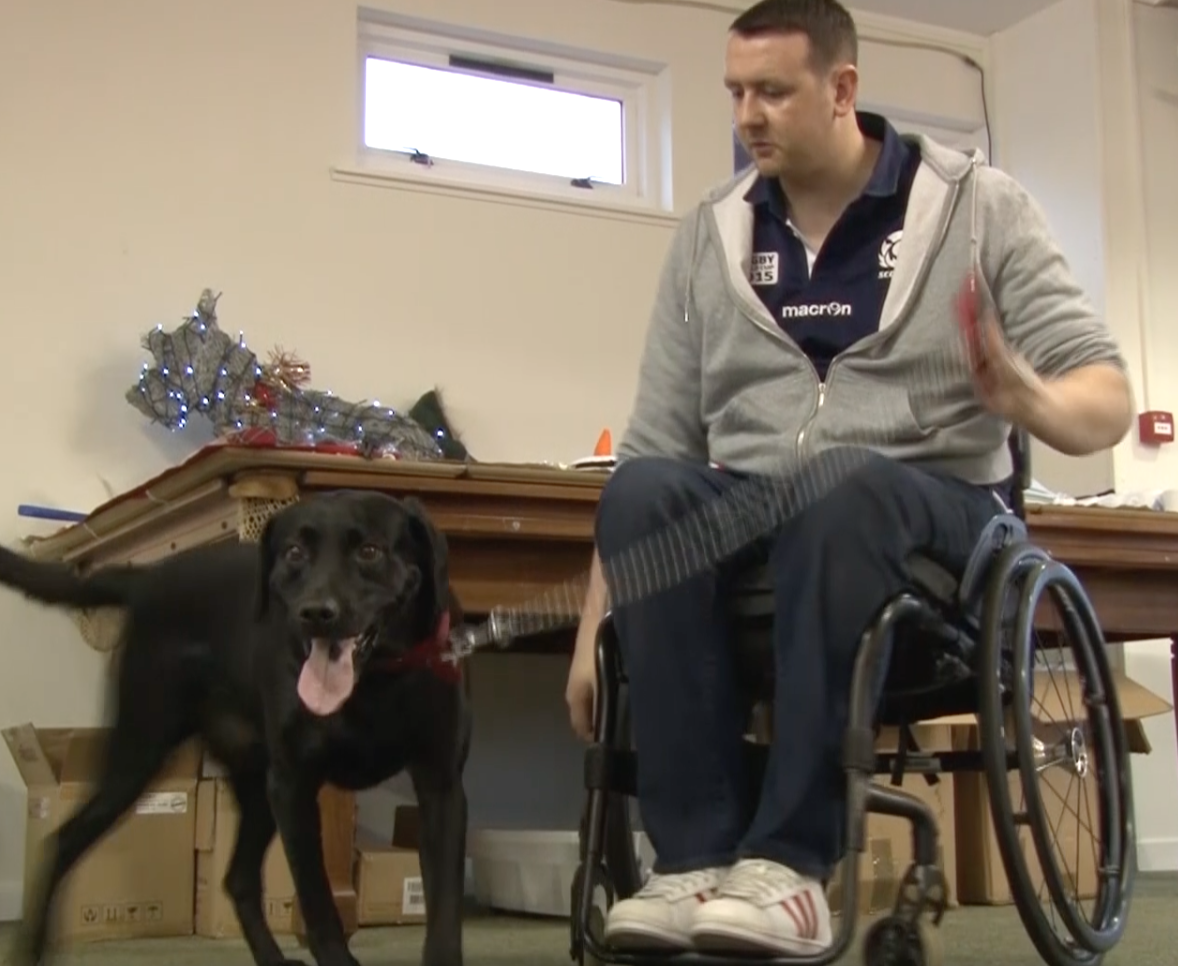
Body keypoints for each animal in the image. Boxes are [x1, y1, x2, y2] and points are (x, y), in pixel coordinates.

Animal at [0, 490, 468, 965]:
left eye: (369, 551)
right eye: (294, 553)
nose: (315, 613)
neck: (377, 680)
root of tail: (148, 579)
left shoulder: (441, 787)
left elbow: (445, 910)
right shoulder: (293, 787)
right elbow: (318, 902)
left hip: (255, 786)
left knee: (237, 879)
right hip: (140, 751)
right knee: (63, 839)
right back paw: (29, 948)